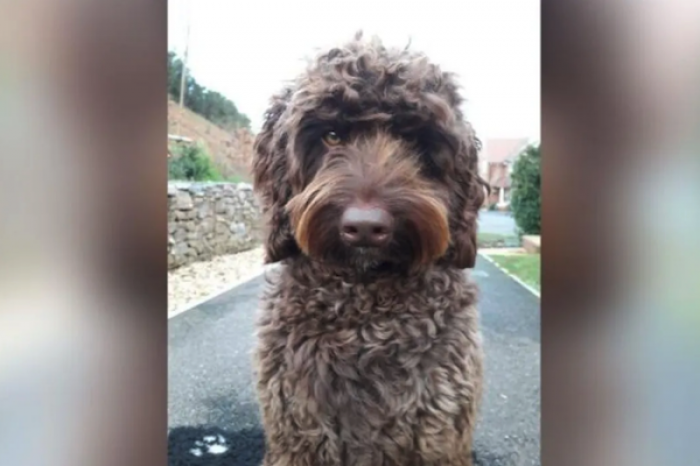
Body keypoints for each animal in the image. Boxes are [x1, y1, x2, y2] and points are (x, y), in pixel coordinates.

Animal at [252, 33, 486, 466]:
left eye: (411, 138)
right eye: (331, 136)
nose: (365, 227)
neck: (365, 310)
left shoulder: (438, 432)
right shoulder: (296, 430)